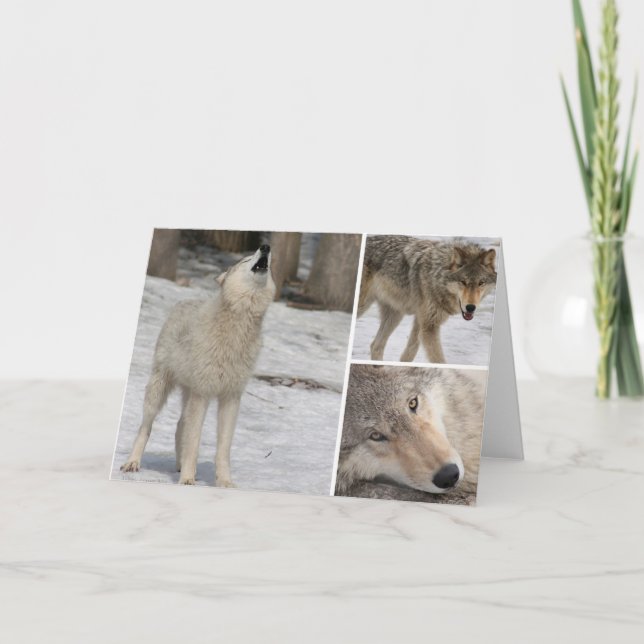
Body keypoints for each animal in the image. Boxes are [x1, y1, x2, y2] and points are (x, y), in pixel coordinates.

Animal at [121, 244, 275, 487]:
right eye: (246, 259)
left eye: (268, 260)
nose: (266, 247)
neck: (239, 324)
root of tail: (183, 301)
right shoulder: (202, 394)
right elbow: (194, 441)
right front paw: (187, 480)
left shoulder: (231, 398)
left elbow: (223, 448)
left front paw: (225, 482)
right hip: (160, 390)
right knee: (146, 426)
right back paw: (133, 463)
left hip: (188, 393)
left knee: (179, 426)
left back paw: (178, 465)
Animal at [358, 235, 497, 363]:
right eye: (463, 282)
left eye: (481, 283)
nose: (471, 307)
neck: (436, 273)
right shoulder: (429, 326)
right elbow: (438, 360)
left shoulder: (422, 322)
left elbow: (409, 354)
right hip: (365, 307)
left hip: (396, 314)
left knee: (376, 346)